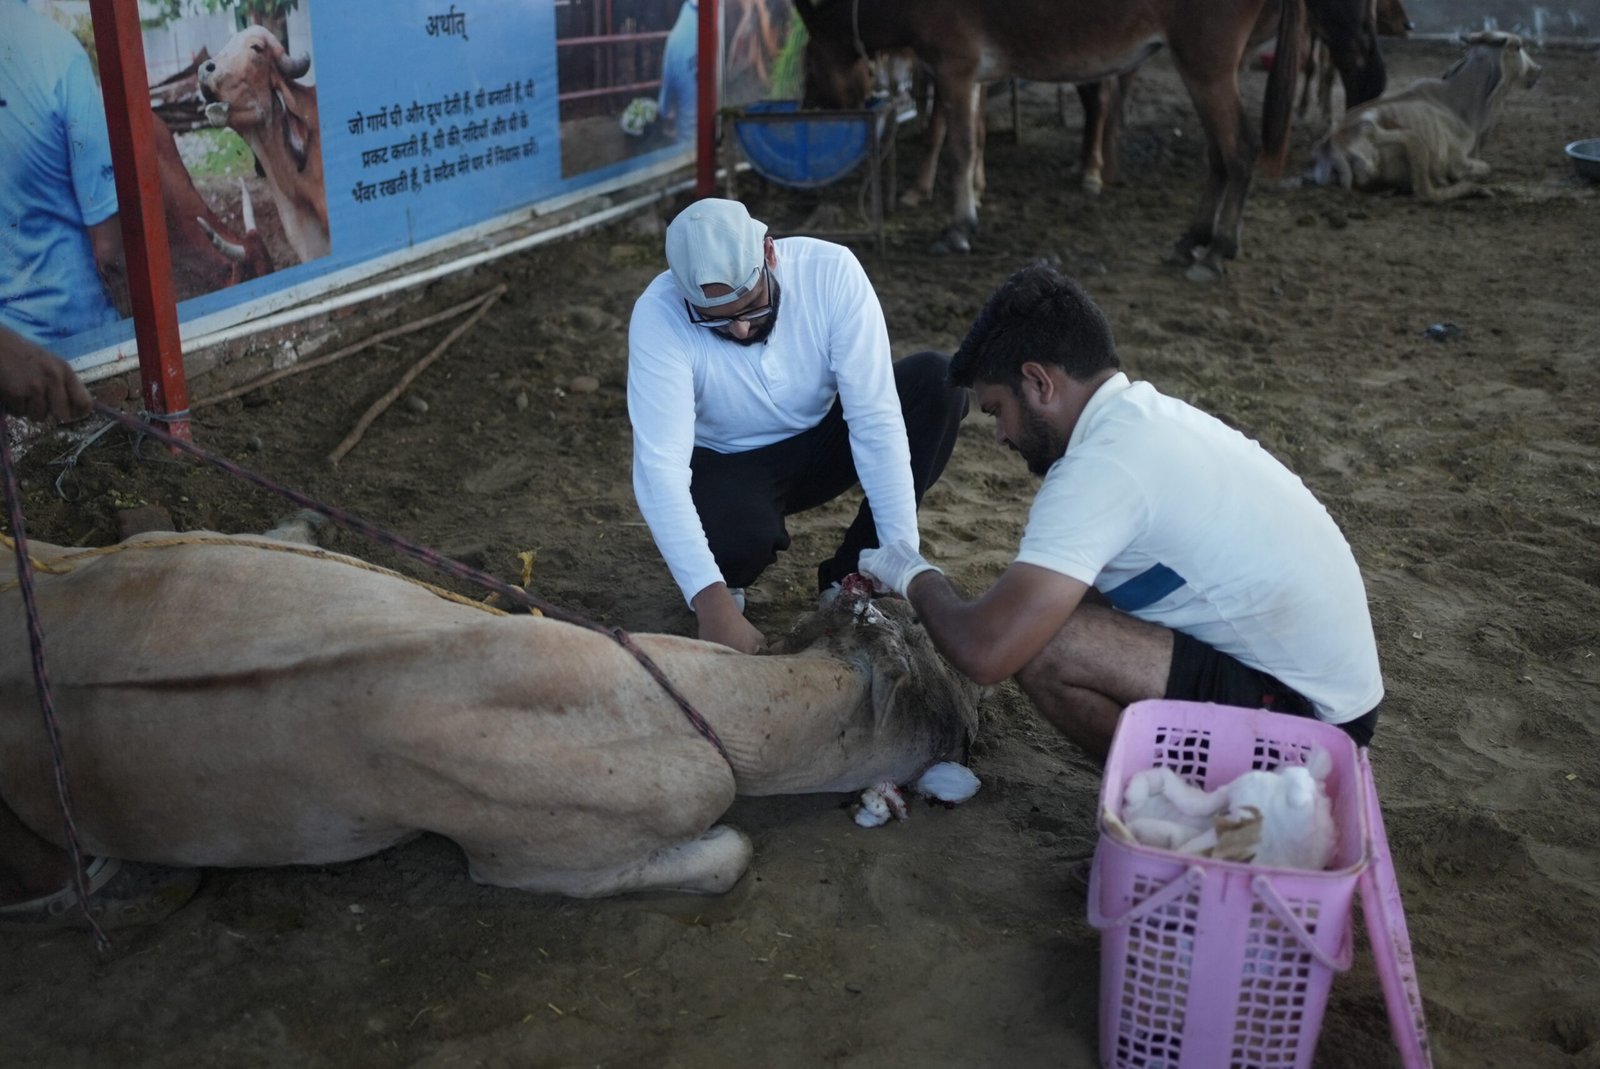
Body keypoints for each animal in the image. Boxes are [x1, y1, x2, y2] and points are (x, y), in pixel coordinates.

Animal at [1305, 30, 1542, 200]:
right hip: (1396, 137)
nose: (1537, 70)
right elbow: (1484, 168)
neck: (1462, 104)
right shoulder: (1457, 161)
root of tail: (1330, 148)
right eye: (1517, 47)